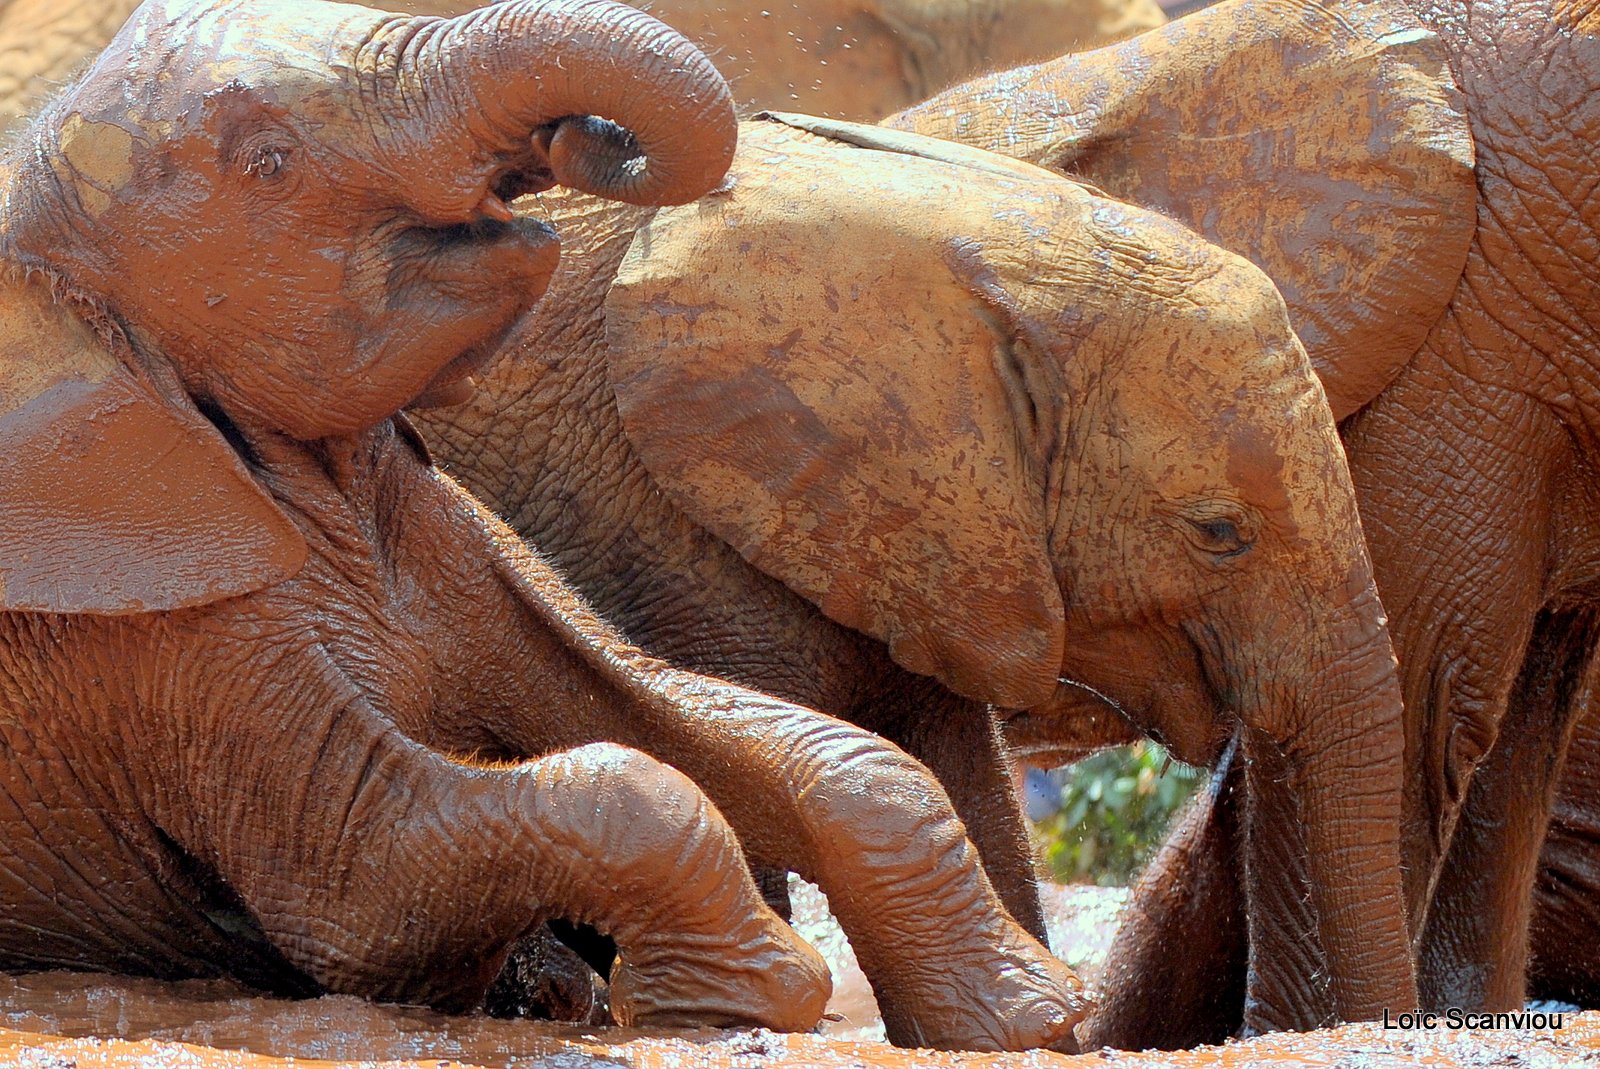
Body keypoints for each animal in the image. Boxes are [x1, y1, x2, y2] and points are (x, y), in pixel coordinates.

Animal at [0, 0, 1088, 1049]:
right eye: (267, 163)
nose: (570, 139)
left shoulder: (454, 535)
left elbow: (697, 717)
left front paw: (1035, 1021)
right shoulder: (156, 642)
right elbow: (360, 896)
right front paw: (740, 994)